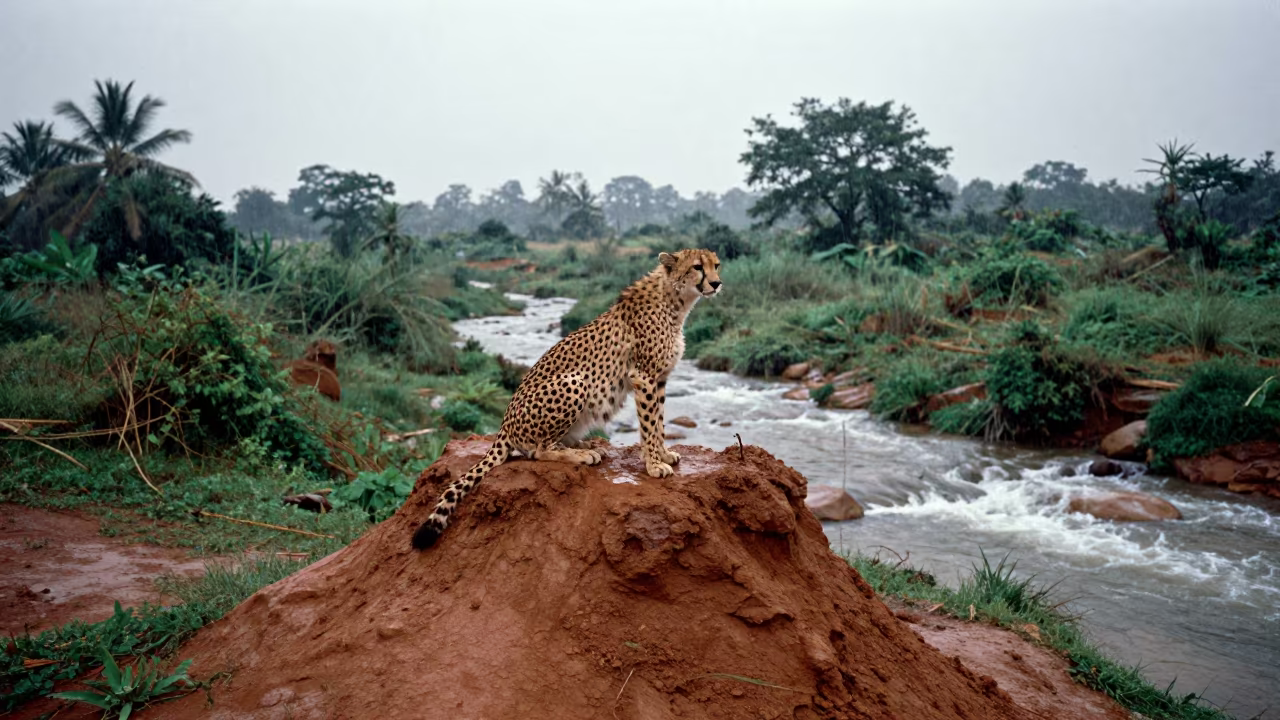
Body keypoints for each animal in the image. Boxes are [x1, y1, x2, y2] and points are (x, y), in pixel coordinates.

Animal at [411, 248, 723, 549]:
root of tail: (504, 425)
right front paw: (654, 464)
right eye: (697, 267)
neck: (675, 300)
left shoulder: (659, 379)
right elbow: (648, 423)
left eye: (716, 265)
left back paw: (582, 444)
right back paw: (579, 454)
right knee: (537, 451)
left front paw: (662, 454)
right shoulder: (644, 376)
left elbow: (658, 423)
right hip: (574, 381)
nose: (717, 283)